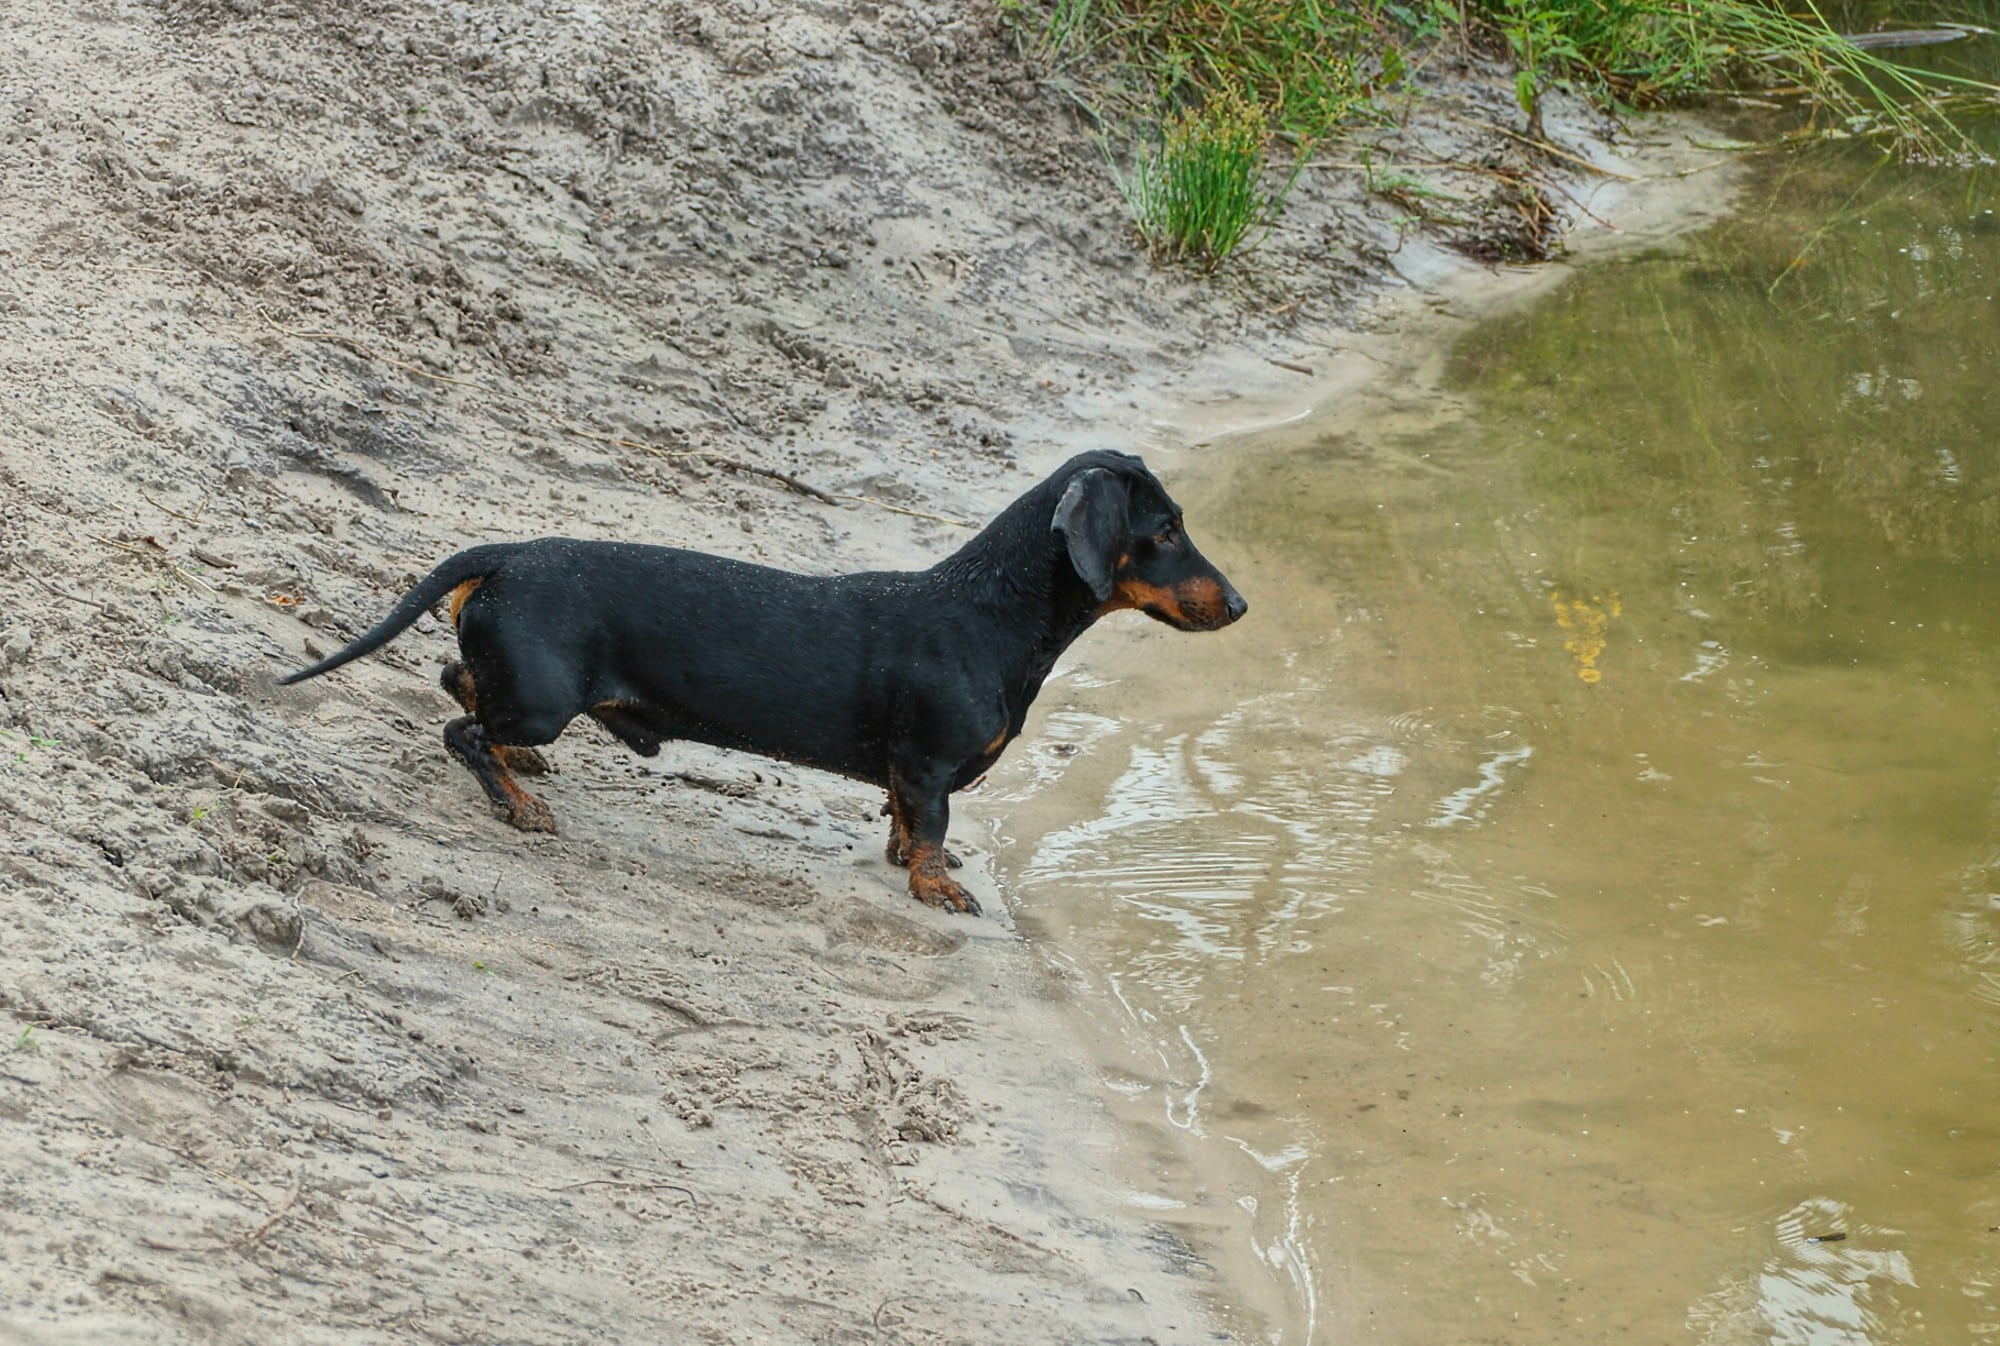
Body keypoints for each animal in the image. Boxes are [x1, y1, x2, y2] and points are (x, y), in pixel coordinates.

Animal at [286, 452, 1248, 912]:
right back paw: (519, 804)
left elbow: (907, 822)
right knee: (463, 730)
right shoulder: (931, 764)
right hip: (544, 700)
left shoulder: (911, 774)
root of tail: (509, 554)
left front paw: (906, 859)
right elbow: (932, 830)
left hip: (528, 693)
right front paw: (936, 888)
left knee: (458, 681)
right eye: (1166, 531)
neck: (988, 612)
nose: (1241, 604)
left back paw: (520, 773)